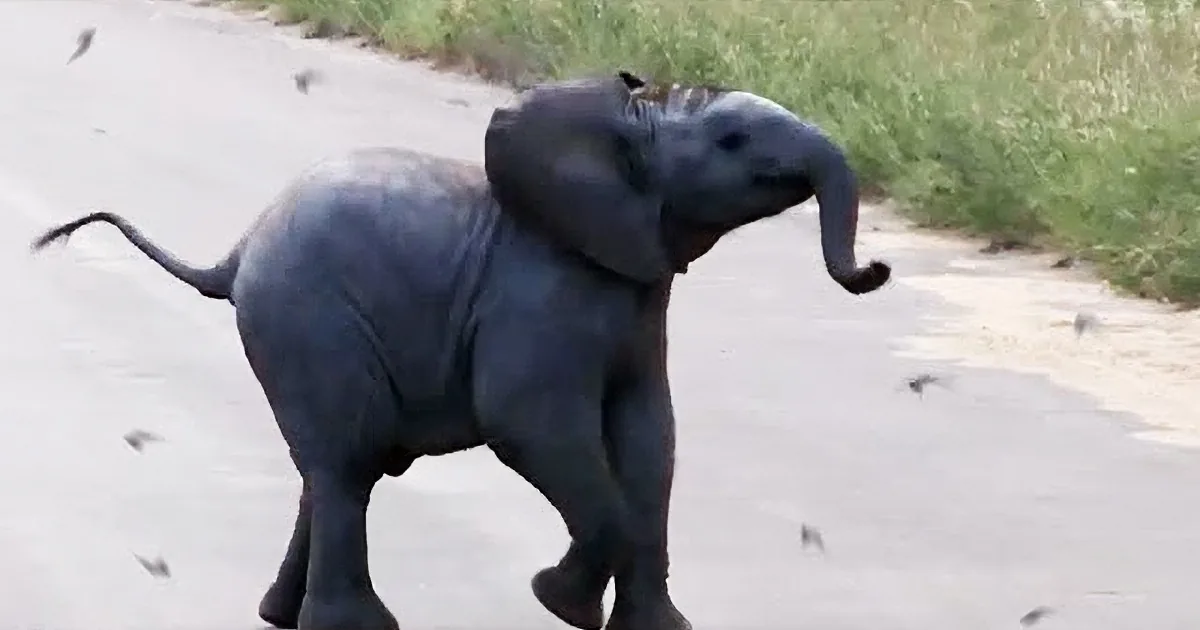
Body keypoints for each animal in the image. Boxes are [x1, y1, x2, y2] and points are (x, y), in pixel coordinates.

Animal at [30, 71, 890, 630]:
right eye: (732, 140)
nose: (875, 271)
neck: (625, 127)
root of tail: (237, 252)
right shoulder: (540, 293)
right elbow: (529, 425)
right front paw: (557, 603)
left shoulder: (638, 300)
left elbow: (651, 439)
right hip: (306, 319)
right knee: (346, 465)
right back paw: (354, 628)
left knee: (334, 469)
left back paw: (279, 615)